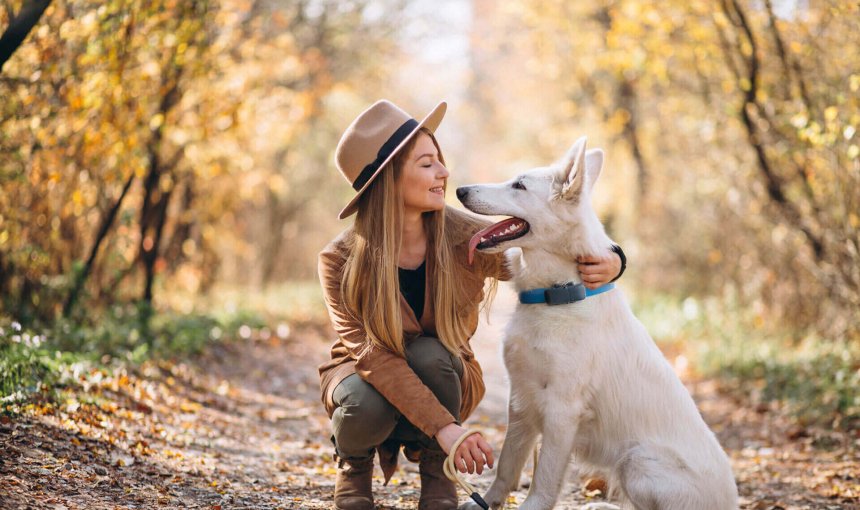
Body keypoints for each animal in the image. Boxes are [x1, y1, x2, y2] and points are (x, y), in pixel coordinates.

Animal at [456, 136, 740, 510]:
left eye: (519, 185)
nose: (459, 189)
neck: (557, 295)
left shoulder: (561, 410)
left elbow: (544, 477)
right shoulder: (521, 399)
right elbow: (507, 464)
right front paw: (486, 501)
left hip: (637, 461)